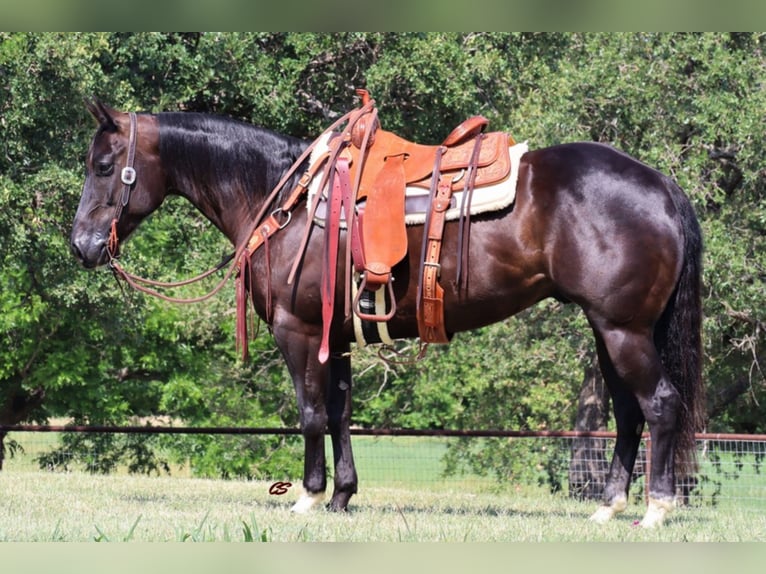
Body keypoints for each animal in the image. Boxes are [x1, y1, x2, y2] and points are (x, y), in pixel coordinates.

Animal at [69, 97, 704, 528]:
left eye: (103, 165)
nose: (82, 246)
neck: (287, 200)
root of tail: (662, 184)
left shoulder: (300, 331)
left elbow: (311, 414)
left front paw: (309, 496)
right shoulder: (337, 334)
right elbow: (341, 413)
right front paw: (343, 496)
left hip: (623, 330)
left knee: (660, 405)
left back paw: (656, 509)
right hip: (610, 330)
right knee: (629, 413)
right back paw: (610, 507)